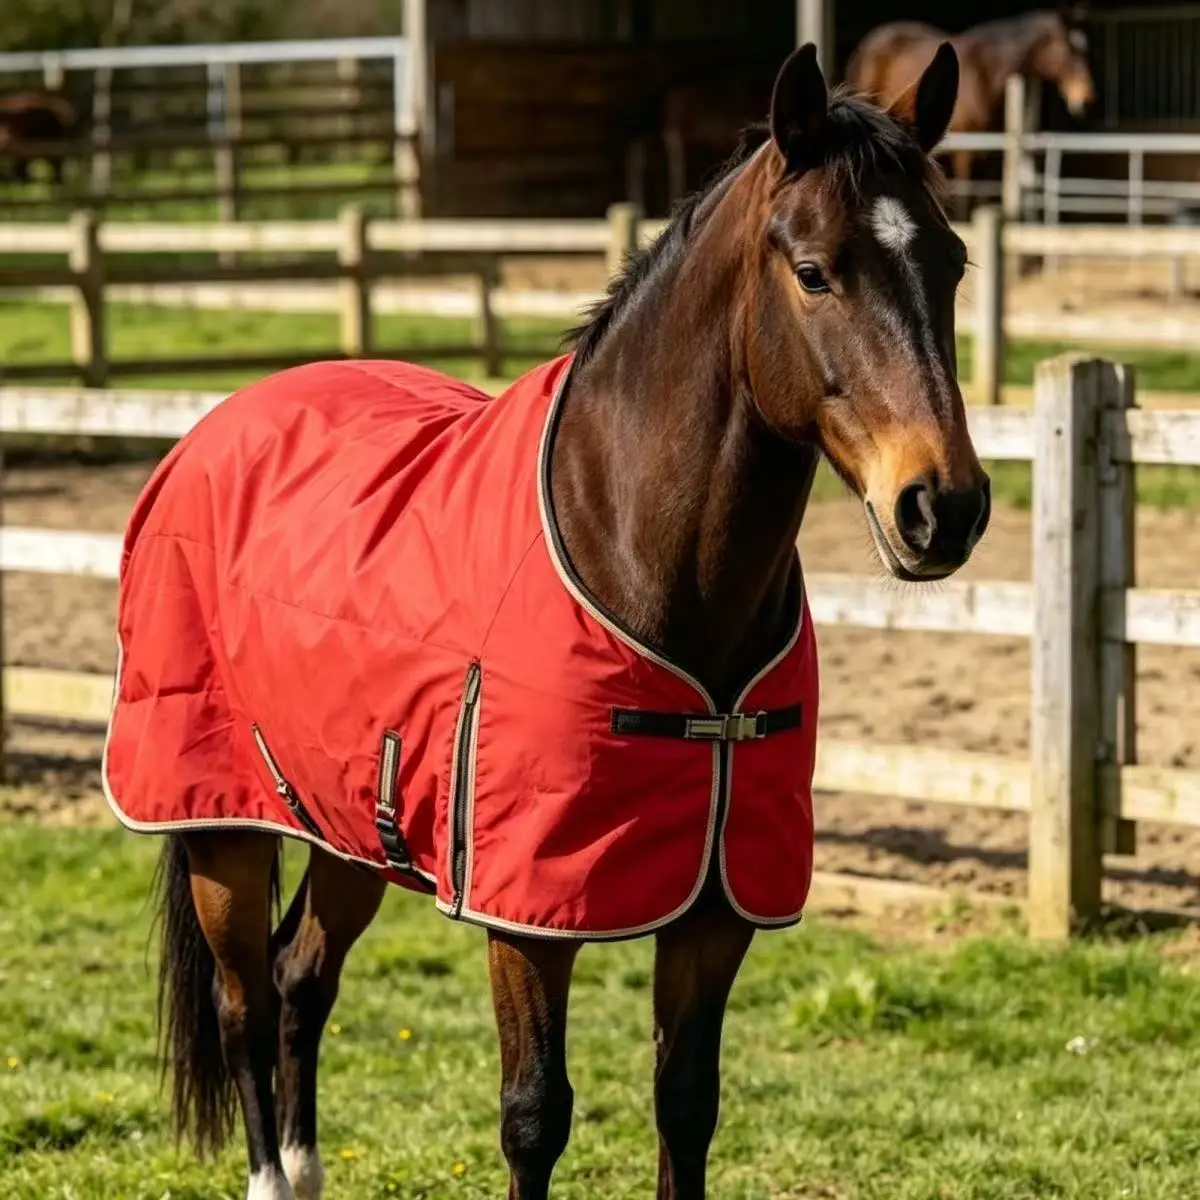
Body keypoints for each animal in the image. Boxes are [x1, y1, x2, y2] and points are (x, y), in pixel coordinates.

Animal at [103, 41, 990, 1199]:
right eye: (814, 272)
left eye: (955, 263)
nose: (945, 507)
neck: (633, 555)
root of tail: (212, 430)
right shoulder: (525, 917)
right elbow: (534, 1118)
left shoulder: (715, 910)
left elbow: (686, 1108)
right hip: (219, 825)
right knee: (244, 1001)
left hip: (351, 817)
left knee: (302, 978)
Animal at [844, 5, 1095, 215]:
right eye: (1068, 50)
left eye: (1086, 50)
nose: (1086, 101)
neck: (987, 75)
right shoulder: (966, 151)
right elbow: (966, 199)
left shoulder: (991, 155)